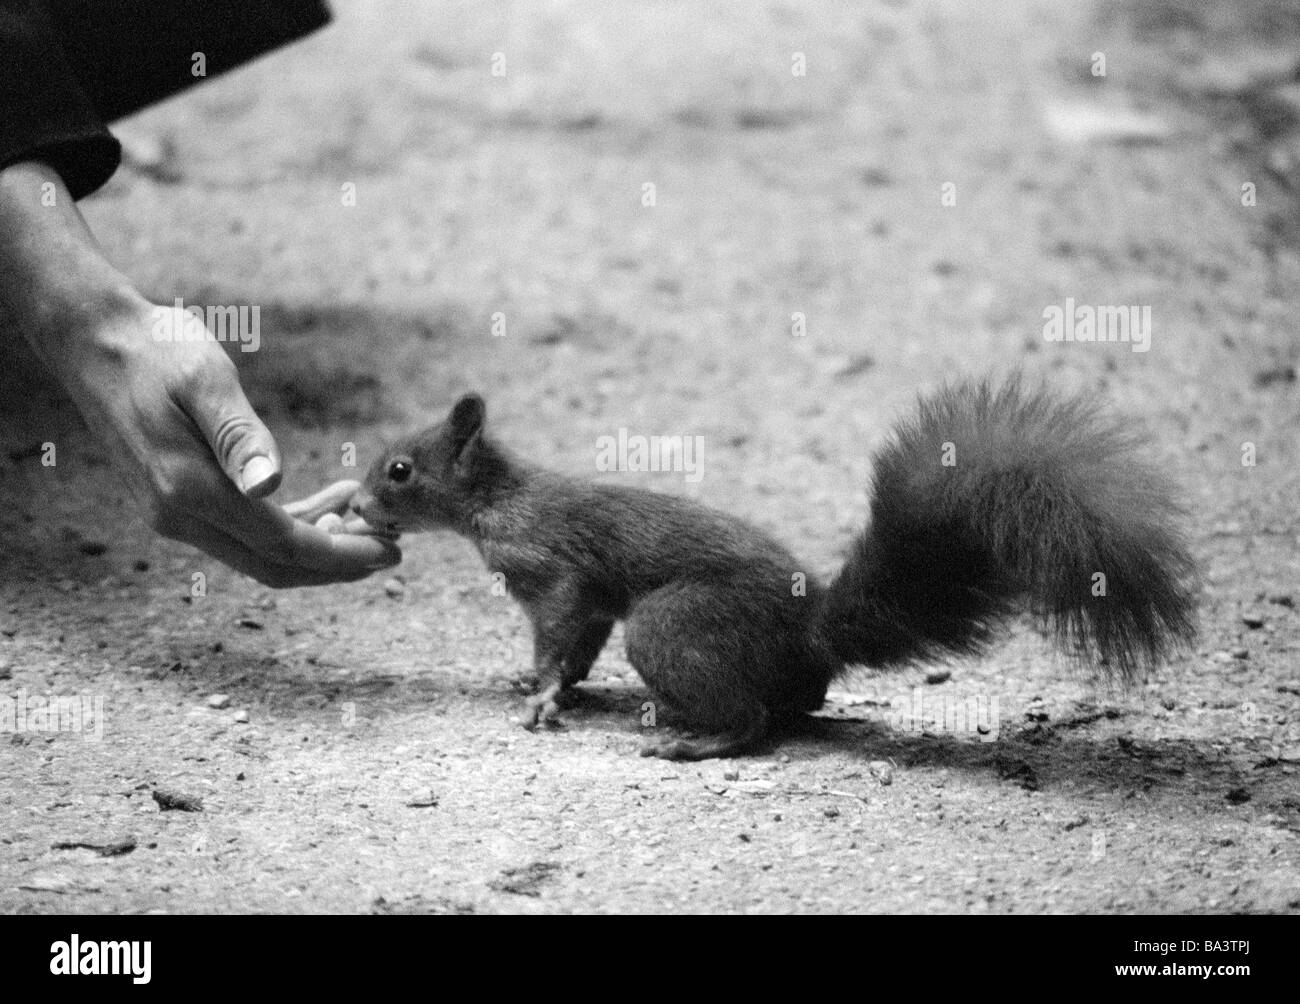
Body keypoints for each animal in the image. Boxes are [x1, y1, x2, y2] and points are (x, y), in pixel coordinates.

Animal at [351, 378, 1197, 761]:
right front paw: (538, 683)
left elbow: (560, 632)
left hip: (670, 626)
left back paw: (694, 741)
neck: (497, 501)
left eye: (399, 470)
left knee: (754, 720)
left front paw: (544, 694)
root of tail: (809, 635)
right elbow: (579, 644)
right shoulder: (586, 603)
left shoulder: (552, 571)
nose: (356, 506)